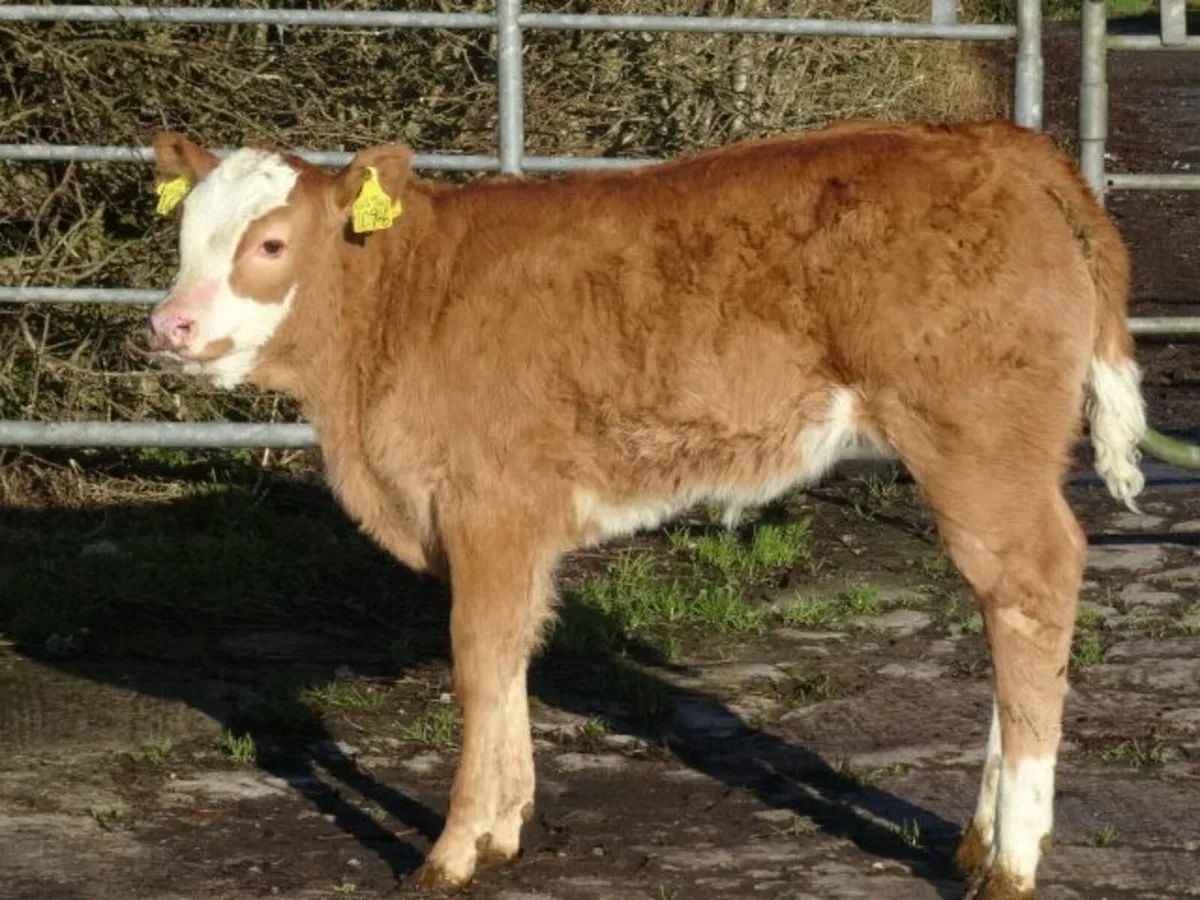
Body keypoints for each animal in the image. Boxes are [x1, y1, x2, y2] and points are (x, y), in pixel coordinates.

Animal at [145, 120, 1147, 899]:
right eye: (185, 235)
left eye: (270, 244)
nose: (170, 325)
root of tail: (995, 141)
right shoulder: (518, 529)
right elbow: (515, 655)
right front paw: (505, 826)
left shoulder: (487, 507)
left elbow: (477, 663)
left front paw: (451, 851)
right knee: (1008, 604)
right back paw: (980, 838)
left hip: (976, 442)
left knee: (1031, 586)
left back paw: (1013, 862)